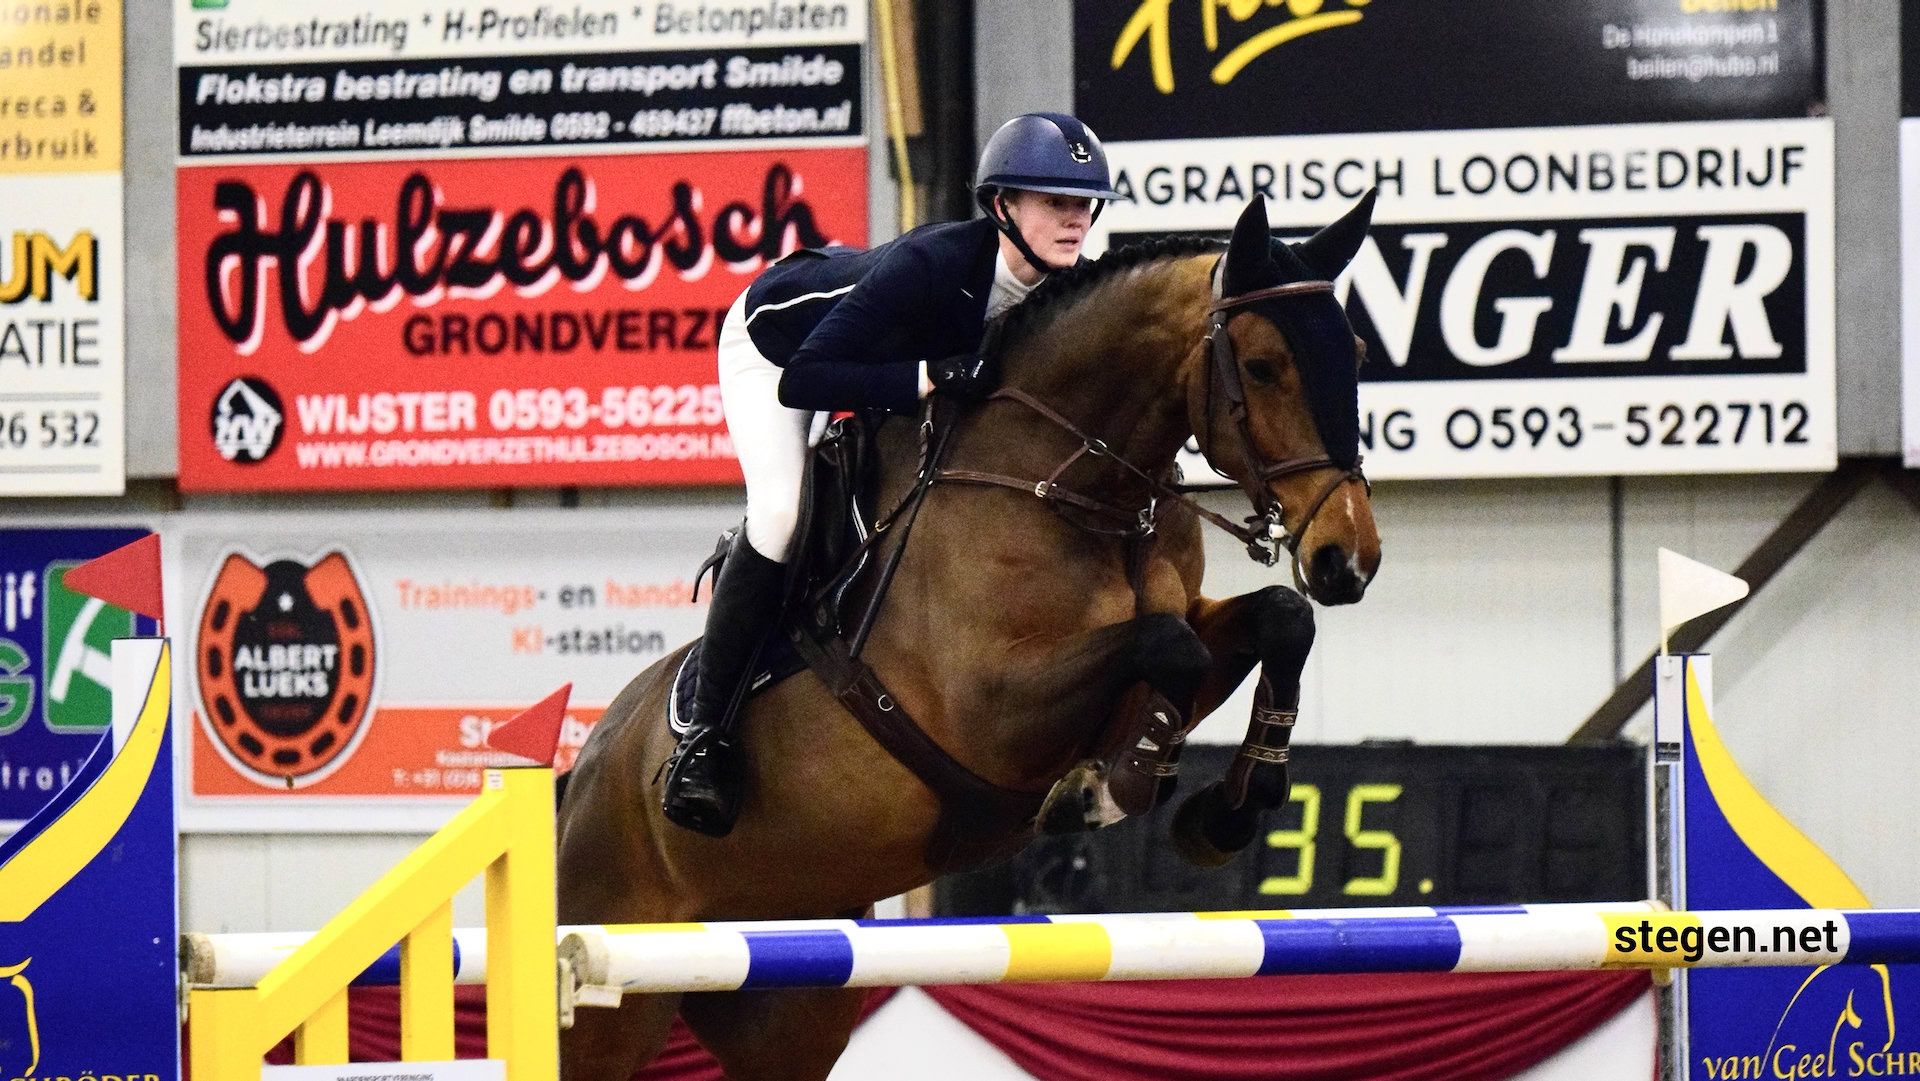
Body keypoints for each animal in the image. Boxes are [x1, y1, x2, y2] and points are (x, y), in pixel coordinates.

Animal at [552, 196, 1382, 1081]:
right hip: (607, 997)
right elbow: (1167, 646)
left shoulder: (1187, 619)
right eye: (1261, 366)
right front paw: (1107, 785)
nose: (1349, 557)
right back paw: (698, 770)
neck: (1070, 483)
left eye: (1358, 352)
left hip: (786, 1001)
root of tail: (583, 771)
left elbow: (1276, 619)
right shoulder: (990, 707)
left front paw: (1227, 808)